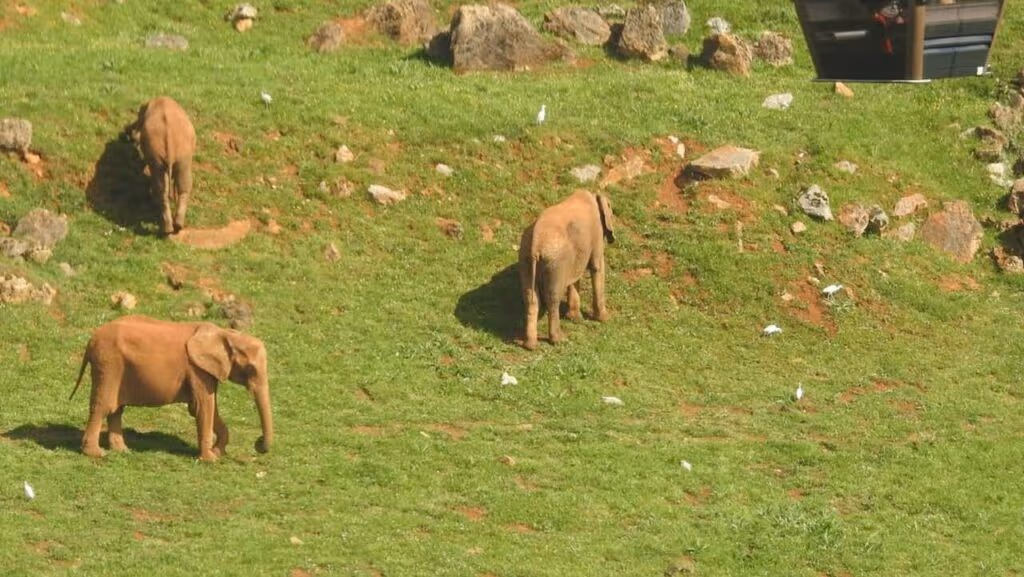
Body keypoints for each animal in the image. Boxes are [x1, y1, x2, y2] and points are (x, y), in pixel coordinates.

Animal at [69, 315, 273, 462]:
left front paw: (217, 453)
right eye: (251, 369)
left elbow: (210, 408)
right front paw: (210, 460)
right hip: (109, 365)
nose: (258, 443)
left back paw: (123, 451)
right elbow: (203, 407)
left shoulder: (206, 371)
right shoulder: (197, 369)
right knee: (103, 407)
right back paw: (97, 454)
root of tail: (91, 340)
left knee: (116, 409)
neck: (225, 333)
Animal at [123, 96, 196, 235]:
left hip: (159, 153)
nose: (126, 131)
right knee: (180, 185)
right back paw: (176, 227)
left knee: (163, 187)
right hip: (180, 155)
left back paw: (167, 229)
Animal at [518, 189, 615, 350]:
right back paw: (559, 340)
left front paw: (575, 318)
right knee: (553, 298)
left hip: (525, 259)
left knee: (530, 298)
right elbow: (597, 266)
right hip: (554, 262)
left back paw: (530, 345)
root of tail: (535, 243)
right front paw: (604, 319)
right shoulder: (596, 234)